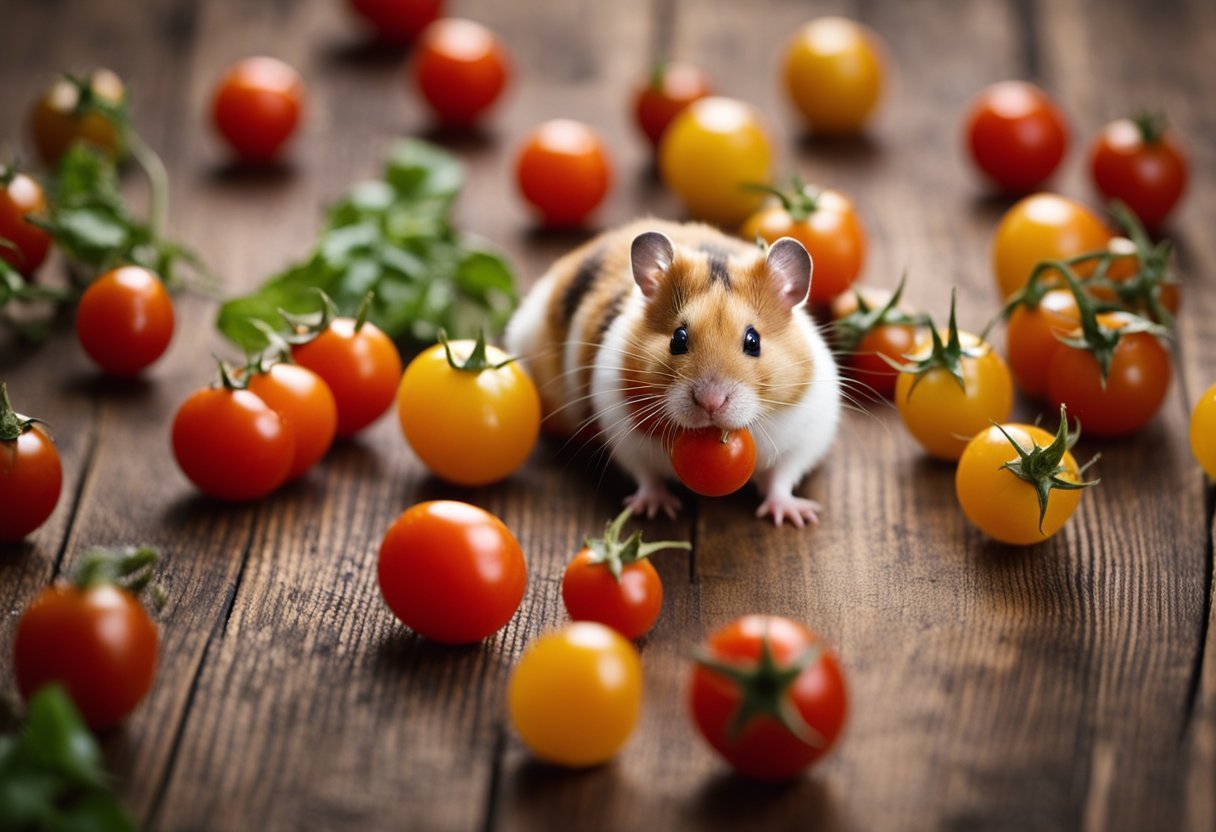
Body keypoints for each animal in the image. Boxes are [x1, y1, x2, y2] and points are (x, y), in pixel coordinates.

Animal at [504, 219, 840, 527]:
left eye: (753, 341)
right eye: (678, 339)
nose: (710, 402)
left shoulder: (807, 435)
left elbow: (783, 477)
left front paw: (796, 517)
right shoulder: (626, 437)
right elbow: (646, 474)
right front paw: (655, 510)